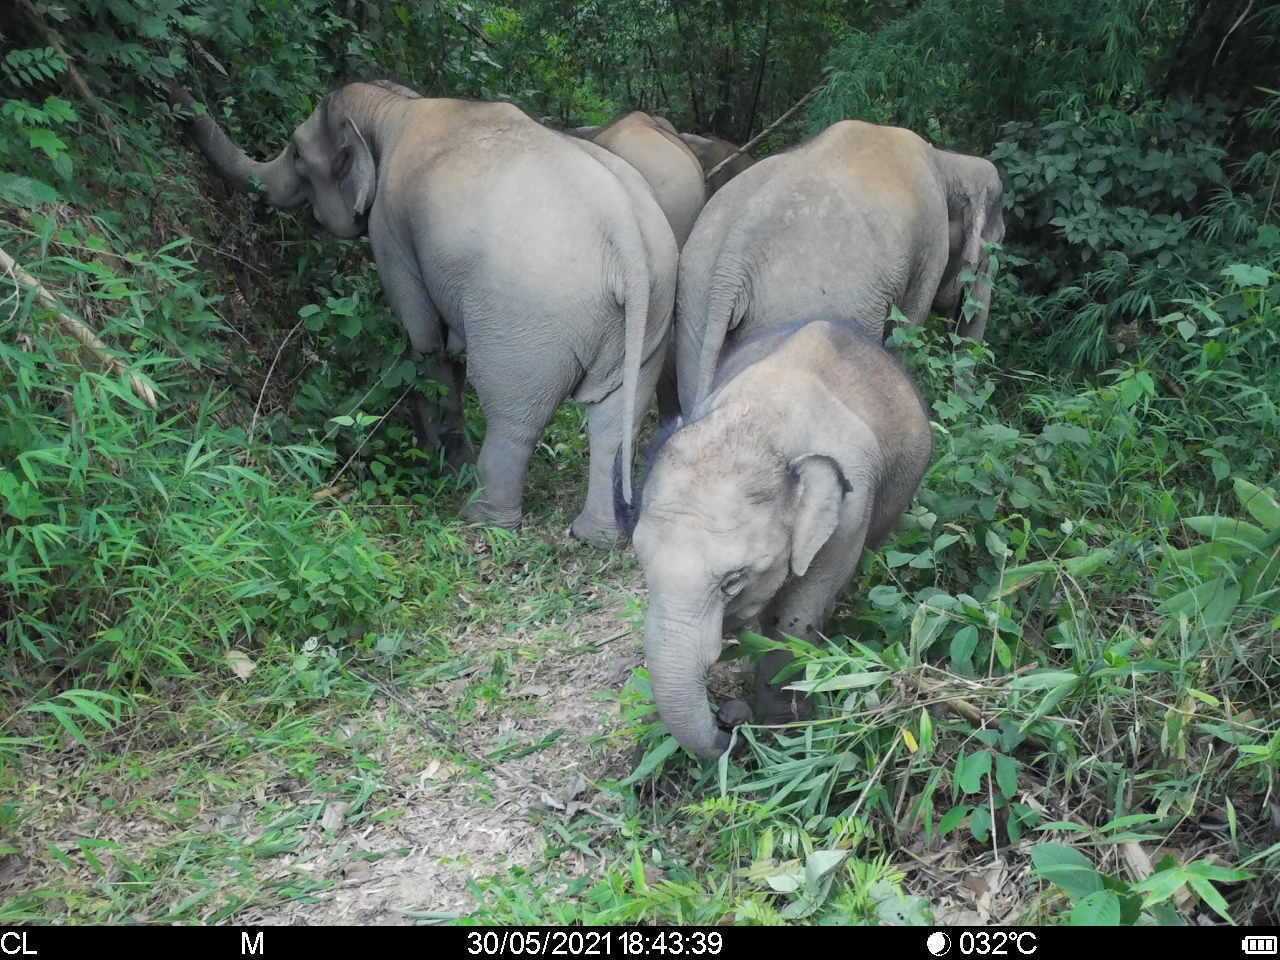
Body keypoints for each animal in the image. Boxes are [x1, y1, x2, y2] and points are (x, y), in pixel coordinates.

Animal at [175, 80, 686, 547]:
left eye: (298, 154)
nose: (180, 103)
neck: (392, 105)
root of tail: (626, 237)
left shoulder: (390, 230)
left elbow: (423, 342)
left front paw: (441, 463)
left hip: (529, 322)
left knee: (514, 411)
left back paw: (481, 518)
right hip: (650, 316)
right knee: (614, 418)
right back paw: (595, 536)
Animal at [611, 320, 931, 762]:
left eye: (733, 580)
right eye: (643, 567)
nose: (728, 726)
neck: (761, 424)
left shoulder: (850, 512)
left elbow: (796, 618)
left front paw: (784, 727)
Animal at [675, 119, 1003, 414]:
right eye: (994, 249)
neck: (947, 160)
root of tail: (734, 255)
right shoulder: (931, 248)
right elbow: (907, 329)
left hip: (695, 302)